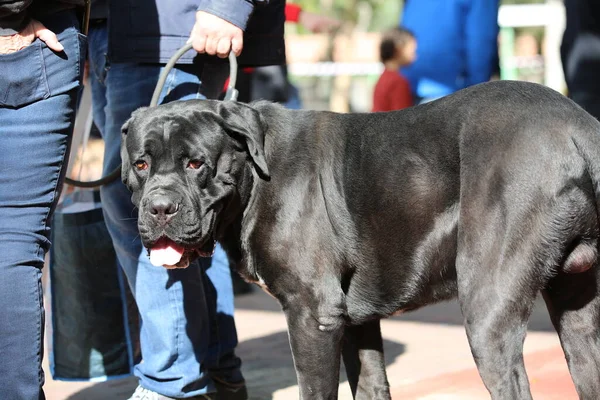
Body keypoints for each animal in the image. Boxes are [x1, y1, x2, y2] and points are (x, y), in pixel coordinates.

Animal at [119, 79, 600, 398]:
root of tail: (577, 125)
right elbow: (370, 385)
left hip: (488, 310)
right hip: (578, 312)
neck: (256, 177)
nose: (160, 208)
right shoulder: (355, 322)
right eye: (141, 165)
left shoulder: (312, 314)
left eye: (196, 163)